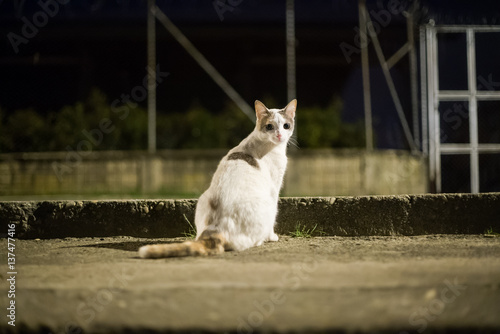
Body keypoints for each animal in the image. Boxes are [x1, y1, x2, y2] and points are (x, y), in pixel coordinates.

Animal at [139, 99, 294, 258]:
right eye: (269, 126)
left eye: (286, 126)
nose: (279, 135)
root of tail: (217, 230)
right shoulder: (274, 187)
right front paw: (272, 237)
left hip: (202, 200)